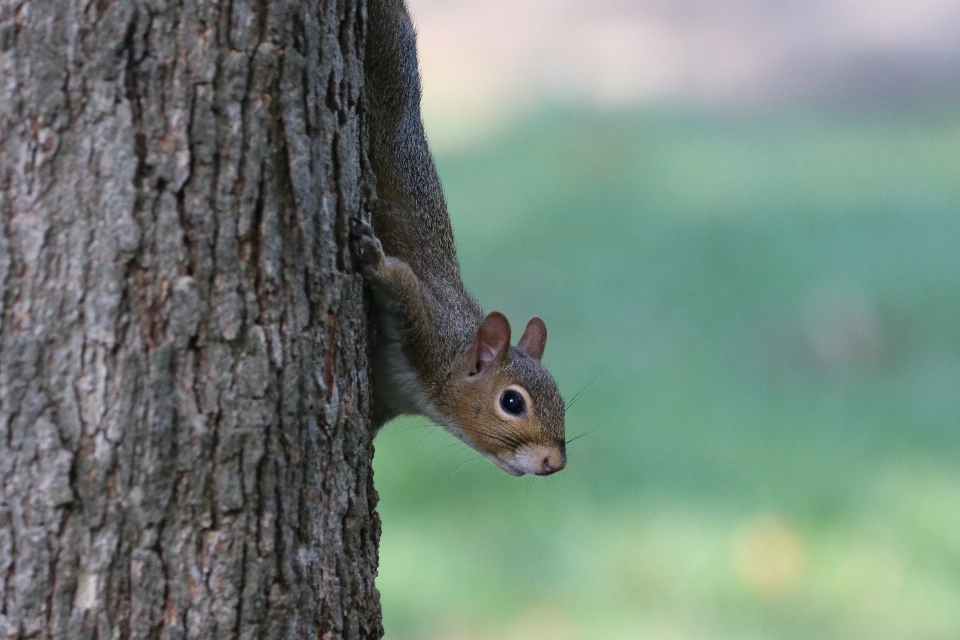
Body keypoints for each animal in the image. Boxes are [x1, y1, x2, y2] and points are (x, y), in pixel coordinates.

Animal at [350, 0, 564, 476]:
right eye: (511, 402)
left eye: (561, 400)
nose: (554, 463)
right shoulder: (429, 329)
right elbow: (404, 281)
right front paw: (375, 261)